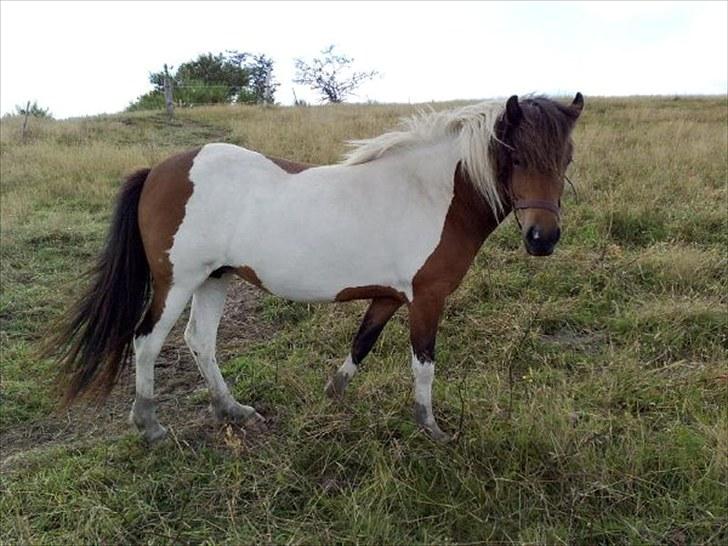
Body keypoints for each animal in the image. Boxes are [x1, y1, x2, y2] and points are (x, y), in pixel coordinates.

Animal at [48, 93, 584, 442]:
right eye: (515, 156)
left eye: (566, 156)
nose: (543, 238)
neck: (432, 193)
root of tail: (159, 170)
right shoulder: (427, 297)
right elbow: (424, 364)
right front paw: (430, 428)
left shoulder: (388, 295)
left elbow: (363, 343)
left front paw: (334, 391)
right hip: (176, 282)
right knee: (146, 341)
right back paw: (150, 425)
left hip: (214, 279)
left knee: (200, 341)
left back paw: (232, 410)